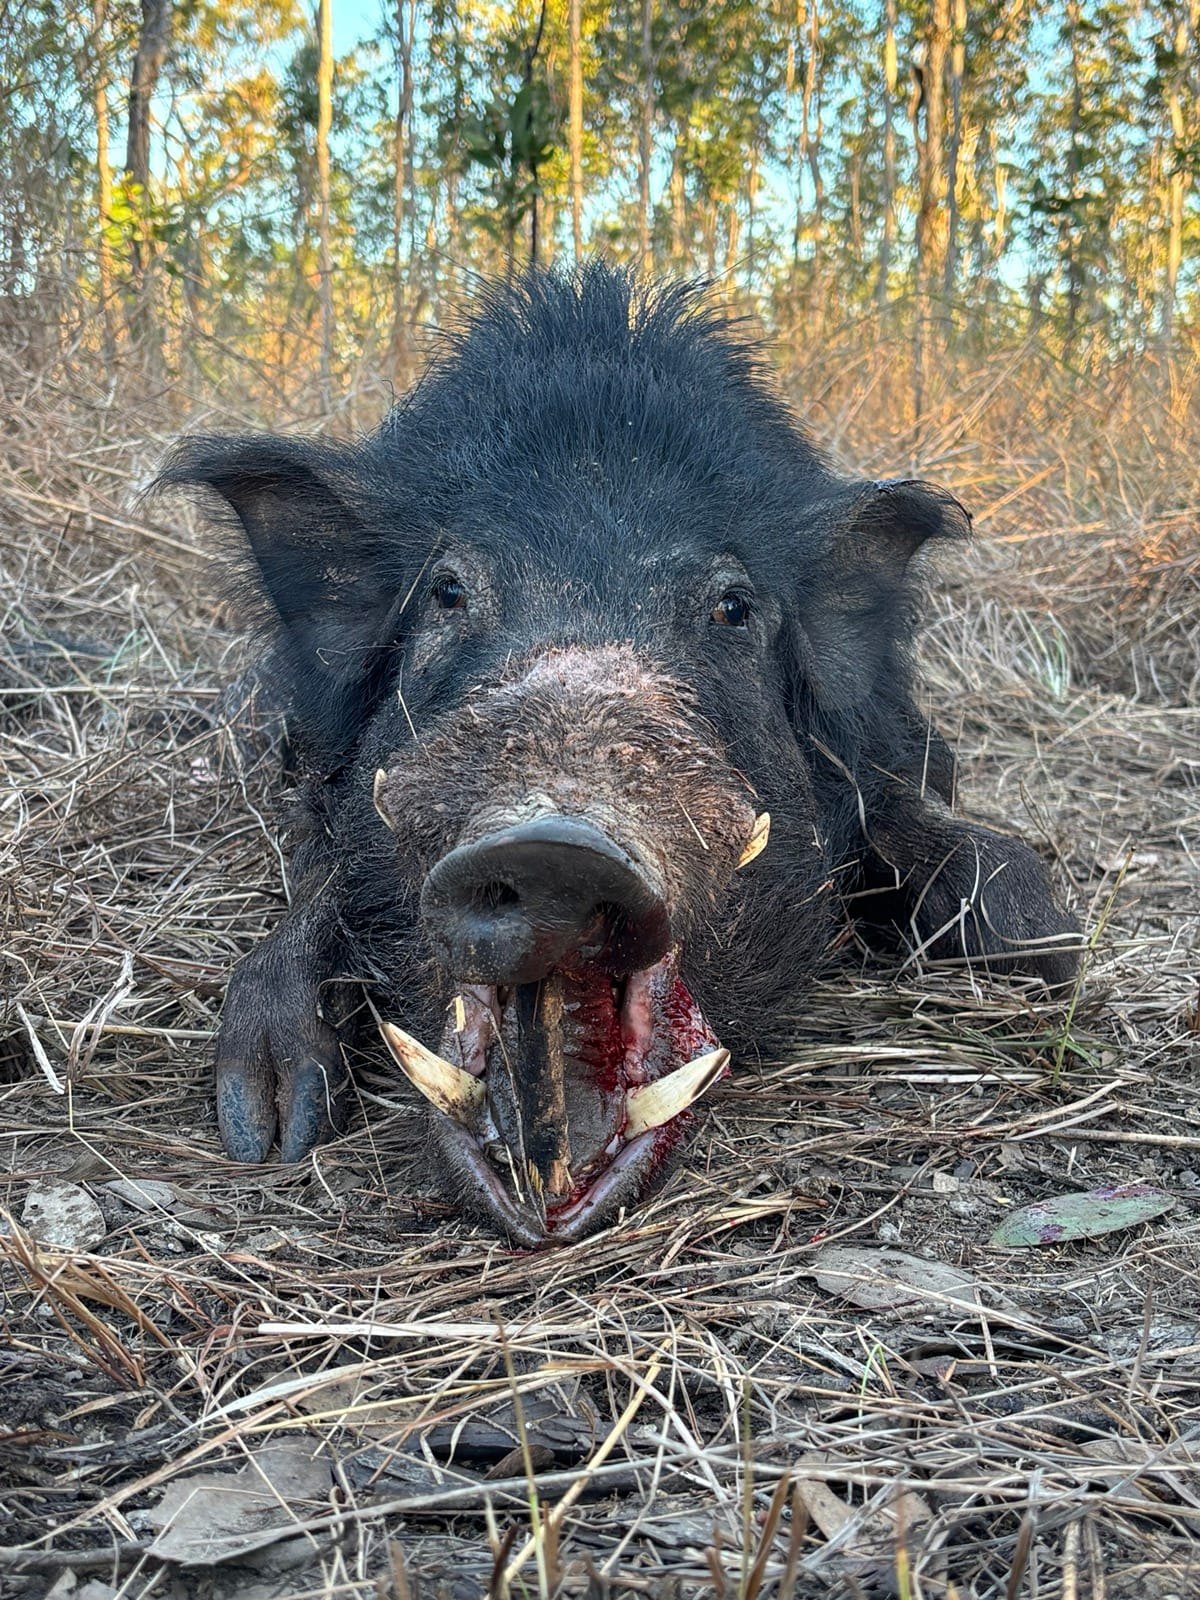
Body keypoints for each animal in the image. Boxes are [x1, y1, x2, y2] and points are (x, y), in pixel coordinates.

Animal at [160, 265, 1079, 1247]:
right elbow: (320, 886)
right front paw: (264, 1133)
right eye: (447, 592)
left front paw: (1049, 956)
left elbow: (951, 849)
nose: (550, 847)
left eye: (731, 609)